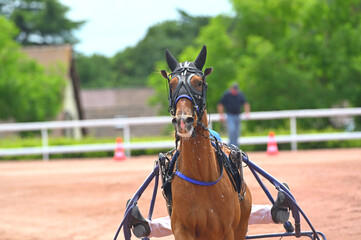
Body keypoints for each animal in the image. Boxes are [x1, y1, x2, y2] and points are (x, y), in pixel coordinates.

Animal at [160, 45, 250, 240]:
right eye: (172, 84)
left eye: (199, 82)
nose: (183, 121)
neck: (202, 176)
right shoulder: (182, 228)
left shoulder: (227, 231)